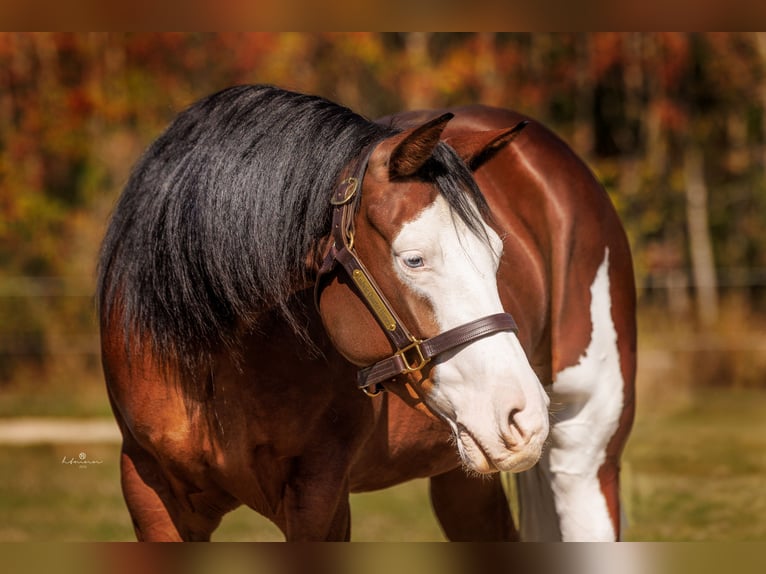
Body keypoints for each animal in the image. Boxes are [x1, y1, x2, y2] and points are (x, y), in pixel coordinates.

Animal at [97, 84, 635, 541]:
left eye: (498, 254)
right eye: (413, 259)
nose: (524, 416)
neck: (203, 351)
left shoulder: (320, 497)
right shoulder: (148, 490)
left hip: (587, 453)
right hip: (461, 472)